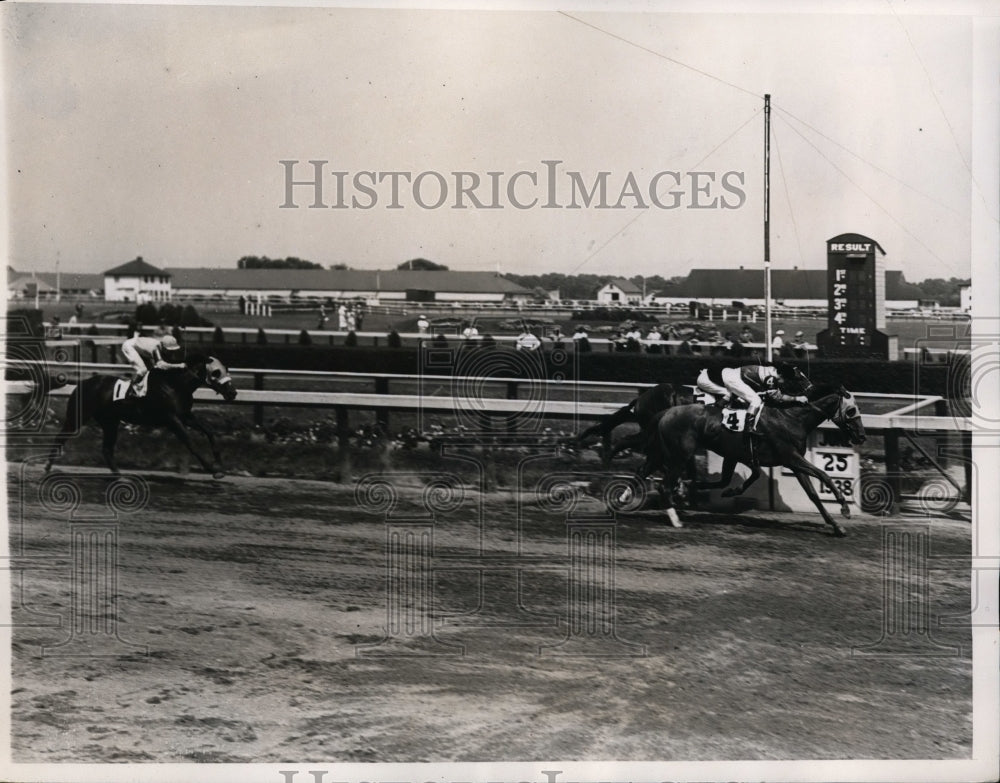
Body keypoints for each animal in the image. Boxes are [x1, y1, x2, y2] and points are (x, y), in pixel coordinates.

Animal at [46, 356, 238, 478]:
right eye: (216, 373)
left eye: (226, 369)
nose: (233, 393)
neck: (175, 385)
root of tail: (82, 383)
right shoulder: (171, 419)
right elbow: (190, 442)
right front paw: (211, 469)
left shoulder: (185, 416)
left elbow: (210, 431)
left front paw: (219, 464)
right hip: (76, 418)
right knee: (59, 438)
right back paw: (47, 467)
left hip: (110, 422)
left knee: (107, 448)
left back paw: (119, 475)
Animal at [652, 388, 864, 540]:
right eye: (851, 410)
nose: (862, 436)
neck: (793, 419)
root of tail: (666, 413)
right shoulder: (791, 457)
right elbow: (824, 475)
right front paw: (845, 508)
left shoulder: (795, 463)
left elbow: (812, 494)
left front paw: (836, 526)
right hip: (680, 455)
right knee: (665, 485)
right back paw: (676, 519)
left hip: (712, 455)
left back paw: (686, 491)